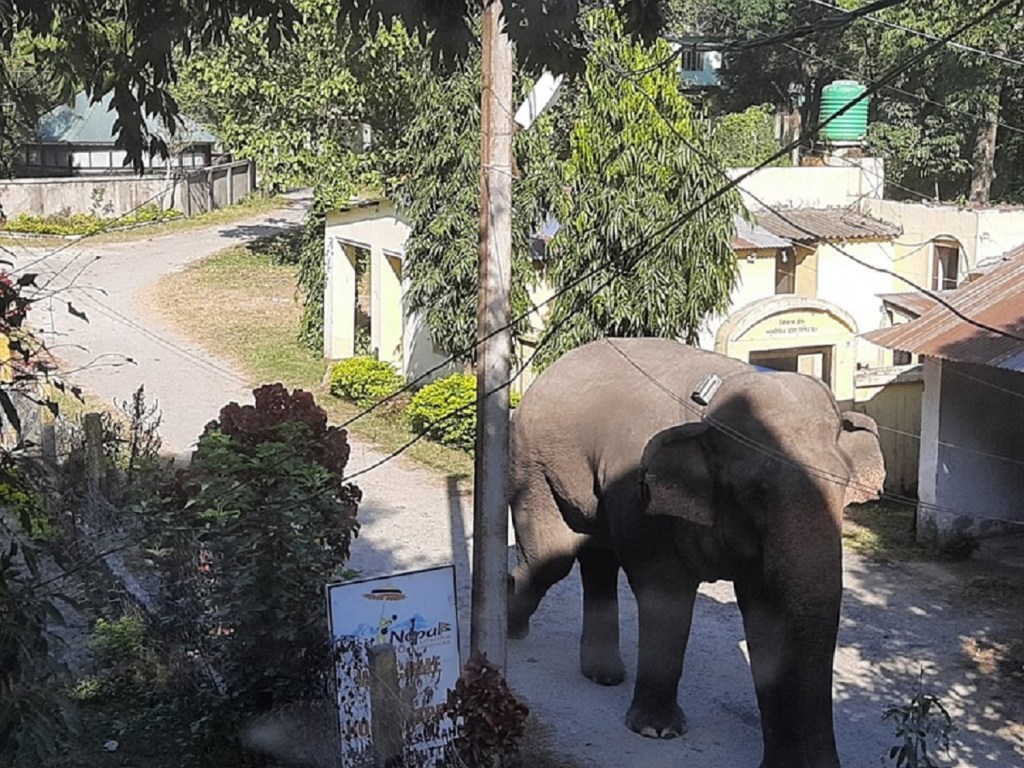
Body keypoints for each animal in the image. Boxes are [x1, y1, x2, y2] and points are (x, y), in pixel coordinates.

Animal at [507, 337, 884, 768]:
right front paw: (656, 730)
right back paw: (511, 626)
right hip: (532, 463)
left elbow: (766, 610)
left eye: (843, 486)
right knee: (553, 559)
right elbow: (665, 592)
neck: (714, 400)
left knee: (596, 555)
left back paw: (603, 674)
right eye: (754, 494)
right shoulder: (638, 494)